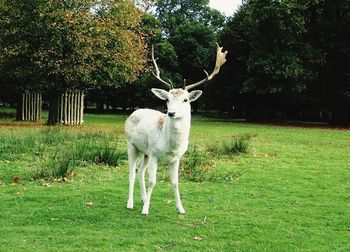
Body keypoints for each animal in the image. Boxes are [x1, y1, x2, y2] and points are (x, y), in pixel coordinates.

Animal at [124, 42, 228, 215]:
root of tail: (133, 112)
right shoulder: (154, 154)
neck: (170, 146)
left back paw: (144, 199)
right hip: (132, 145)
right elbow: (153, 181)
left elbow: (175, 182)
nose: (171, 113)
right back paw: (130, 203)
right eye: (167, 99)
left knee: (140, 171)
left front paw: (181, 209)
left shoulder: (176, 158)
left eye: (185, 99)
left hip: (145, 152)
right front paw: (145, 211)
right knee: (132, 172)